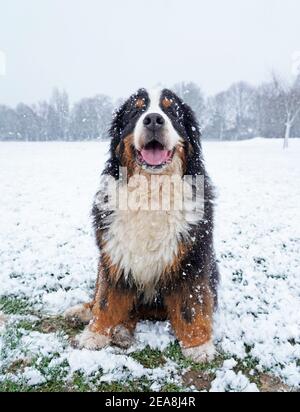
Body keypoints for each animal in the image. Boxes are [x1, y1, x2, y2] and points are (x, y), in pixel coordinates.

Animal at [65, 88, 219, 362]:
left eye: (171, 111)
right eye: (136, 111)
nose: (154, 120)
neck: (152, 190)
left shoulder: (191, 259)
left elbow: (191, 305)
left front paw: (198, 345)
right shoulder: (113, 254)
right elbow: (105, 299)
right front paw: (95, 333)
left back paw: (122, 332)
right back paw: (87, 314)